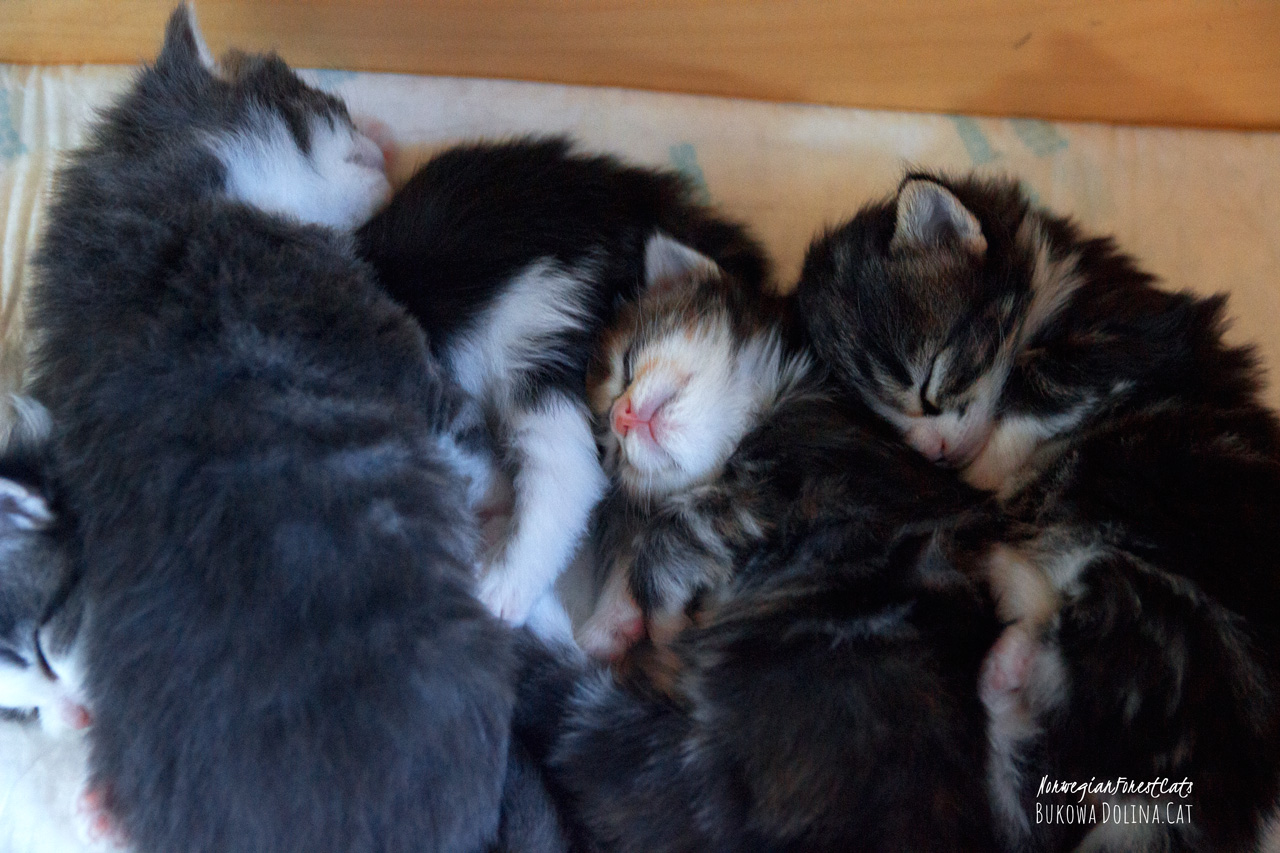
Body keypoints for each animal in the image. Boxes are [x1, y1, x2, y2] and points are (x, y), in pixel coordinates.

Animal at [796, 173, 1280, 851]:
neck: (1048, 283)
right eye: (885, 427)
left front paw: (989, 462)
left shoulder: (1131, 336)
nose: (933, 453)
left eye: (928, 383)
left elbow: (1036, 384)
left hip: (1152, 567)